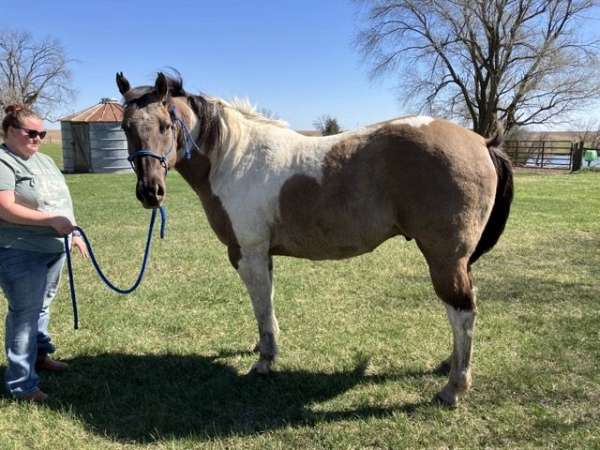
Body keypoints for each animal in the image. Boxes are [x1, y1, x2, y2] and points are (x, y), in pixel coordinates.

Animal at [116, 72, 510, 406]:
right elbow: (267, 305)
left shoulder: (248, 253)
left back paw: (453, 388)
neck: (235, 158)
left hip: (445, 260)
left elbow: (261, 306)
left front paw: (264, 363)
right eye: (125, 128)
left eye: (166, 126)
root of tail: (481, 141)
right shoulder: (263, 255)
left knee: (462, 311)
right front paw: (264, 348)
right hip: (456, 261)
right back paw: (450, 364)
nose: (150, 191)